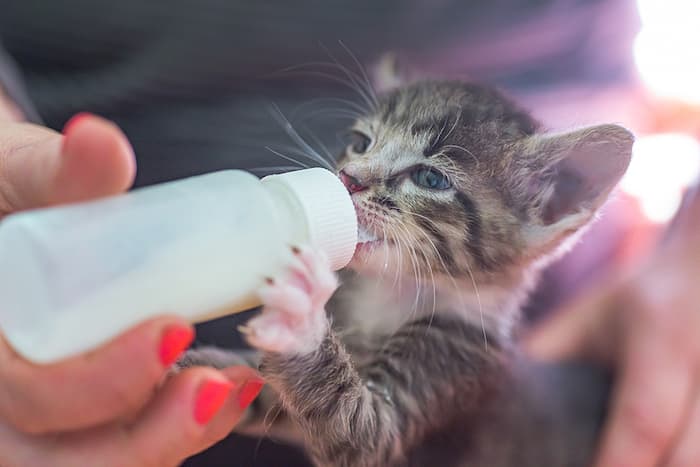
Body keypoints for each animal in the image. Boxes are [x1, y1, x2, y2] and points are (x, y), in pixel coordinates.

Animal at [183, 80, 632, 467]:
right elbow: (259, 390)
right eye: (360, 143)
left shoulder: (453, 370)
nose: (348, 178)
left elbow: (358, 431)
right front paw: (196, 368)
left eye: (430, 178)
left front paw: (300, 320)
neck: (384, 299)